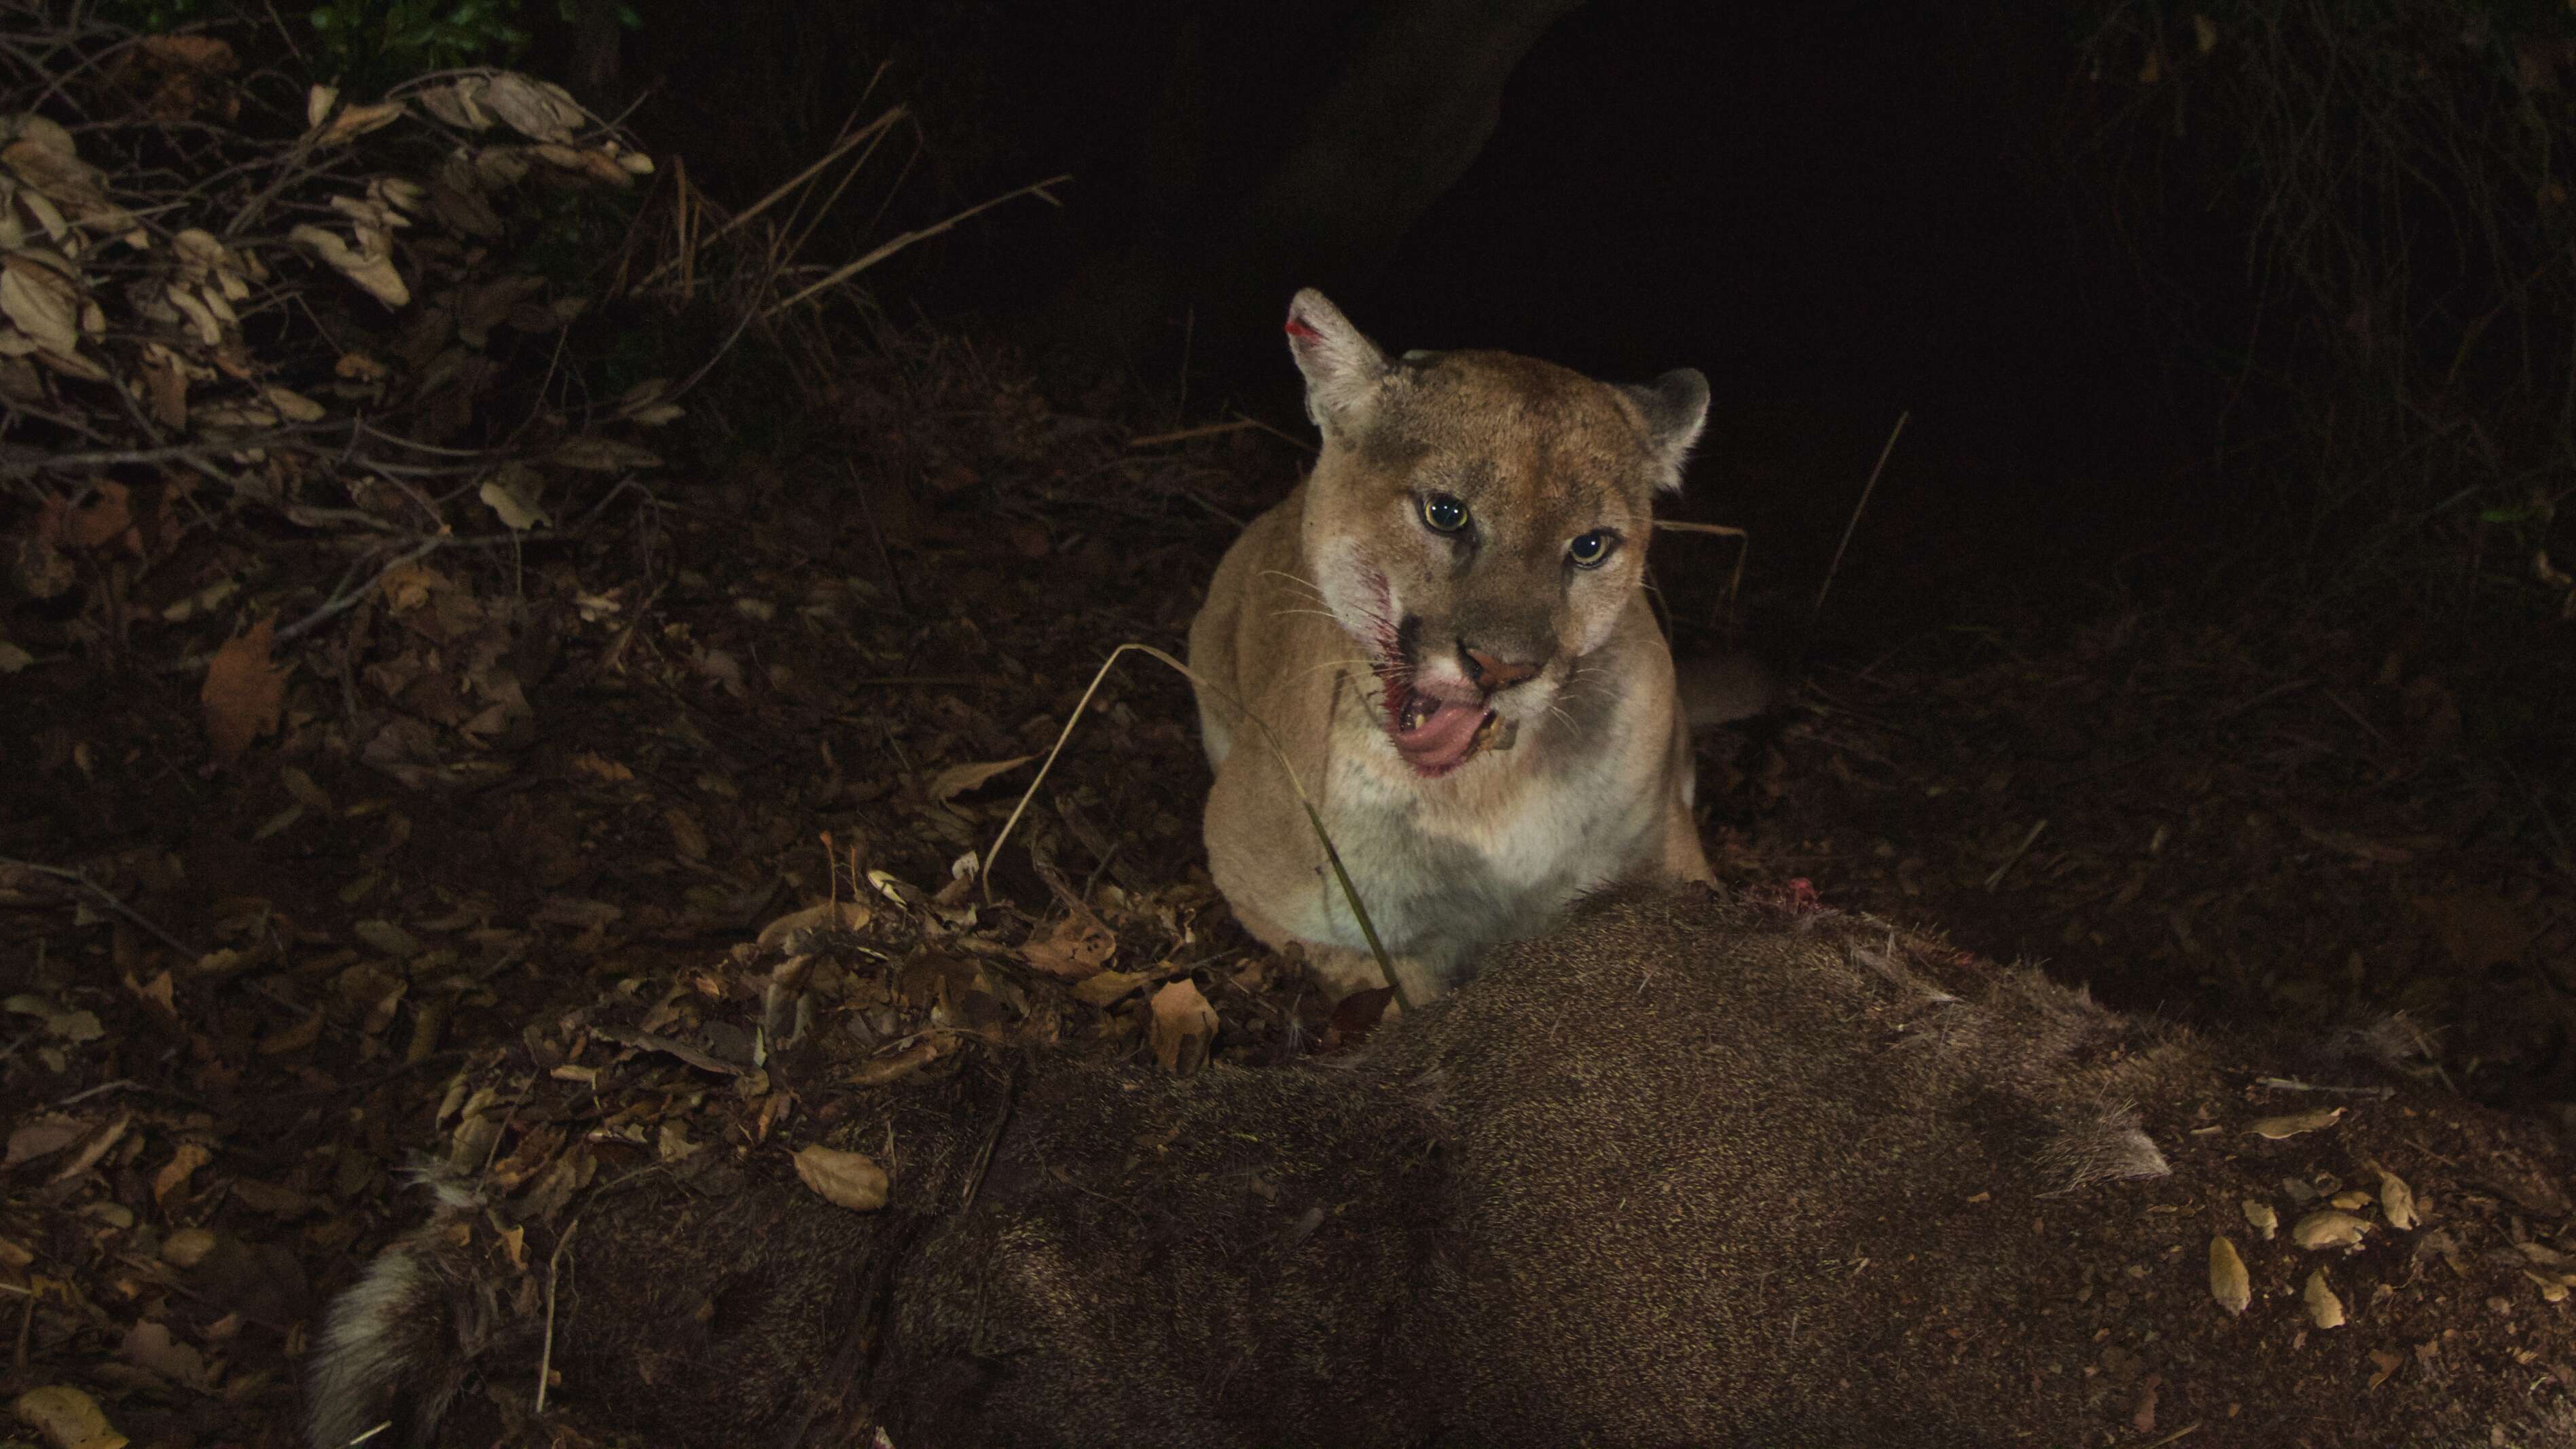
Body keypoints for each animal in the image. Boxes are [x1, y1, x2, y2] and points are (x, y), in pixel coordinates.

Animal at [1190, 289, 1772, 1004]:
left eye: (1590, 547)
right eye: (1446, 513)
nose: (1501, 668)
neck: (1482, 795)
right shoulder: (1254, 878)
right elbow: (1404, 983)